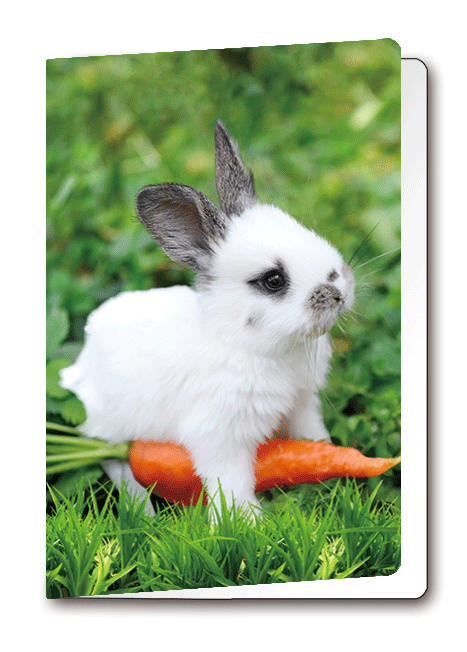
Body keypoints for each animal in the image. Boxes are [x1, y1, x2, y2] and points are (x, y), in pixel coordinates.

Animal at [60, 120, 355, 518]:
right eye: (273, 280)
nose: (338, 292)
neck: (251, 346)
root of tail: (80, 367)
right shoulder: (220, 436)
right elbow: (231, 483)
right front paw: (251, 524)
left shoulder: (302, 405)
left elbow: (313, 440)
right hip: (114, 429)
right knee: (116, 461)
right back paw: (145, 514)